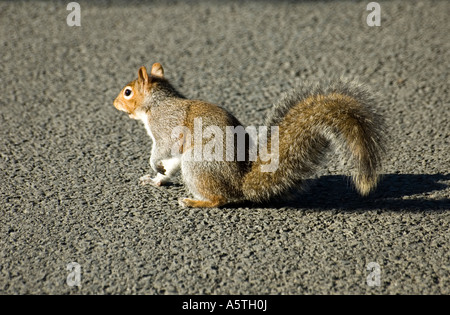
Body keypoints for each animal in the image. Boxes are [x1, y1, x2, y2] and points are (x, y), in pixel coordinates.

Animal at [112, 63, 384, 209]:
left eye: (127, 92)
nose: (114, 103)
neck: (156, 104)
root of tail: (240, 185)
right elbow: (168, 167)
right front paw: (156, 179)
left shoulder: (167, 127)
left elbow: (162, 149)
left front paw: (153, 163)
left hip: (197, 164)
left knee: (220, 199)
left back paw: (195, 202)